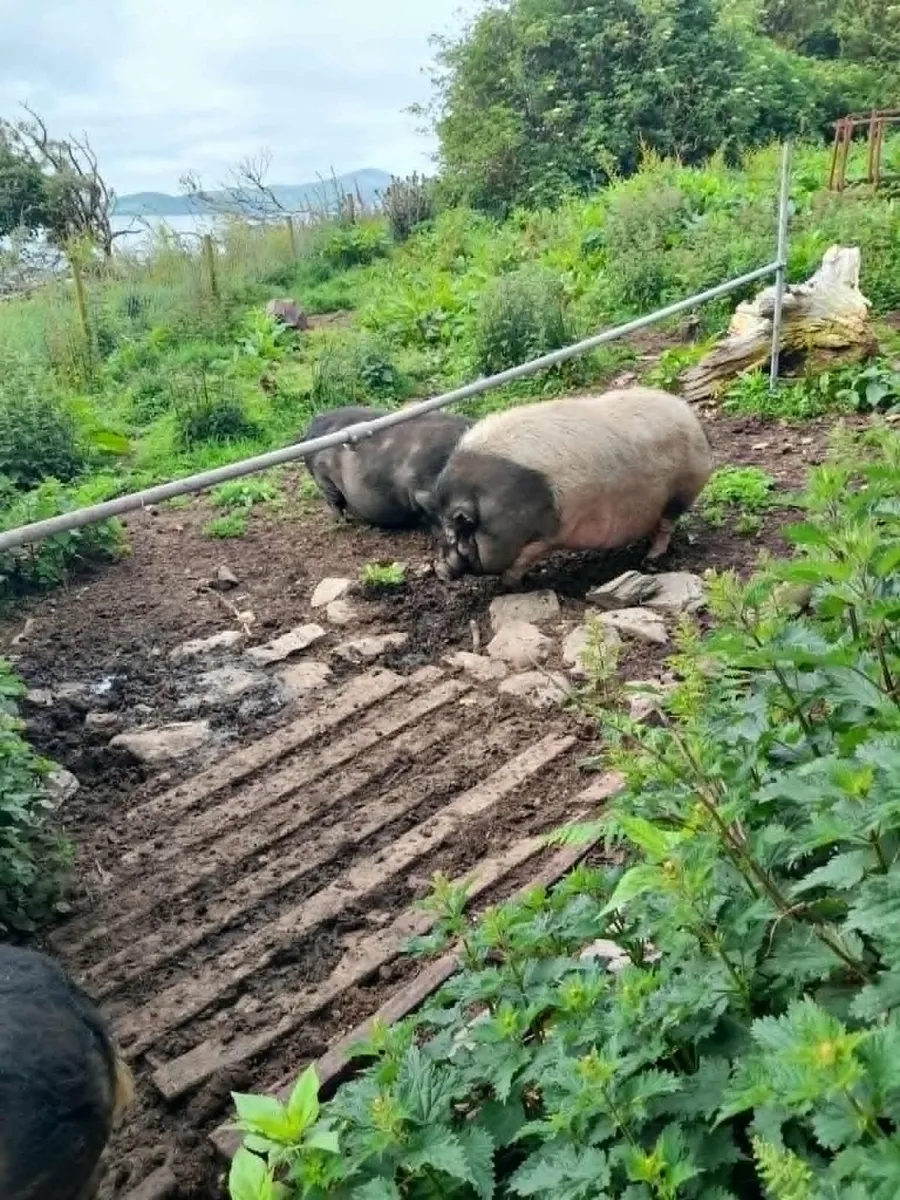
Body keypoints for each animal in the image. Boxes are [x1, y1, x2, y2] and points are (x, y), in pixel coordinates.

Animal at [423, 387, 713, 584]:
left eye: (456, 532)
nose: (440, 569)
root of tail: (693, 420)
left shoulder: (547, 533)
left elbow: (521, 562)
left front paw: (511, 584)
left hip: (682, 492)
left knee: (666, 526)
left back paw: (650, 559)